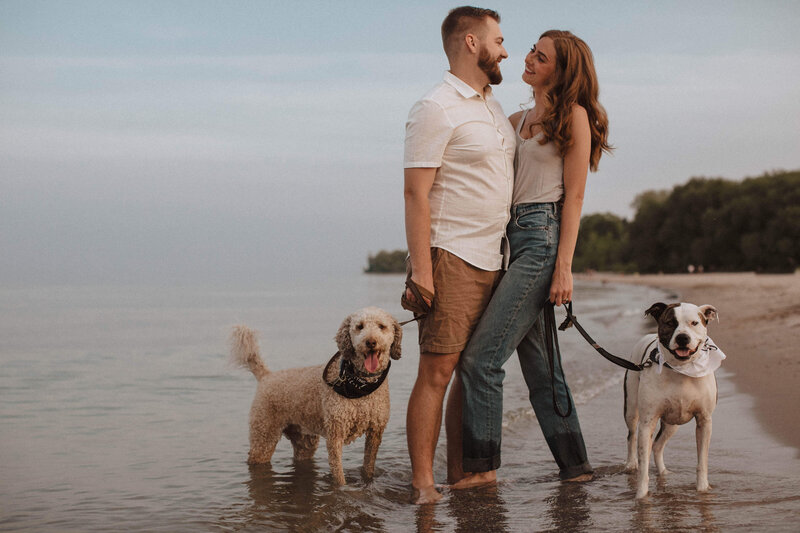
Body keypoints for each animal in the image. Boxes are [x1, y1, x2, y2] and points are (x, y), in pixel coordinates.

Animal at [227, 306, 400, 484]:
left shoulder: (375, 431)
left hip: (304, 441)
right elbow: (338, 474)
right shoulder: (335, 434)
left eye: (381, 326)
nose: (370, 342)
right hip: (264, 435)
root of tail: (266, 376)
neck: (361, 385)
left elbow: (368, 466)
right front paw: (342, 487)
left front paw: (367, 481)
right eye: (360, 327)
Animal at [624, 304, 724, 498]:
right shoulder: (647, 422)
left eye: (694, 323)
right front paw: (641, 497)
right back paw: (631, 464)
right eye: (670, 323)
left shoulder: (704, 420)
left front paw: (702, 489)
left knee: (657, 445)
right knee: (632, 435)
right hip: (631, 409)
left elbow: (702, 461)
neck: (681, 369)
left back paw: (663, 473)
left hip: (672, 424)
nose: (682, 337)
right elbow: (643, 464)